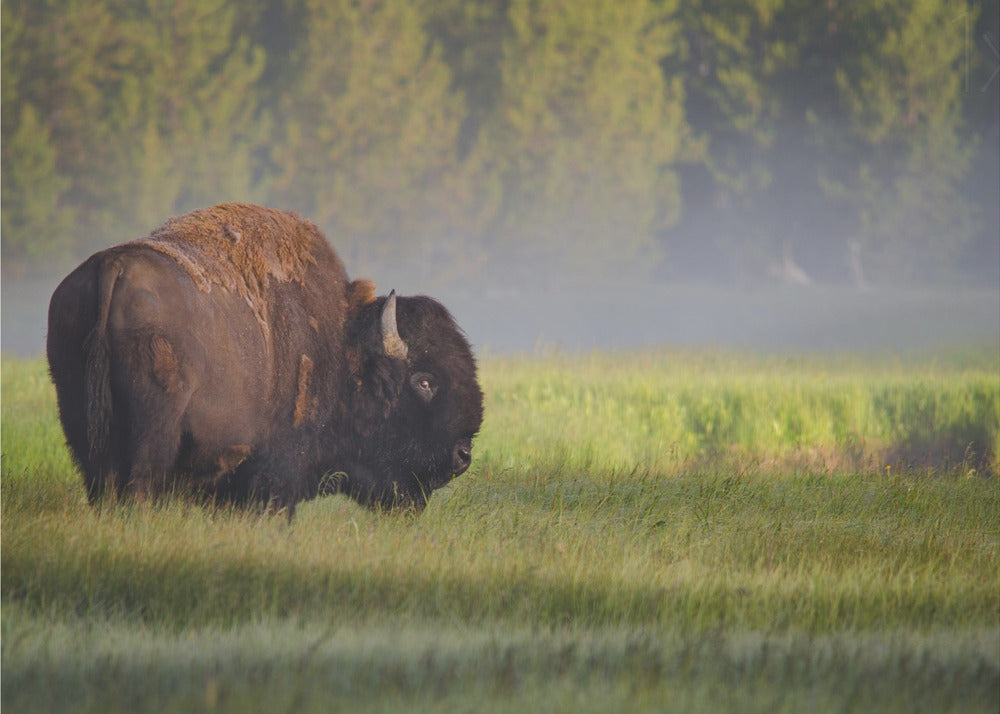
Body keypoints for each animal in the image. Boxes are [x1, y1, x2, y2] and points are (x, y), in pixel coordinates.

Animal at [46, 203, 484, 512]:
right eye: (424, 381)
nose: (463, 456)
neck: (339, 342)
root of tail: (113, 267)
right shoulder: (277, 473)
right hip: (153, 432)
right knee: (139, 486)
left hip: (81, 422)